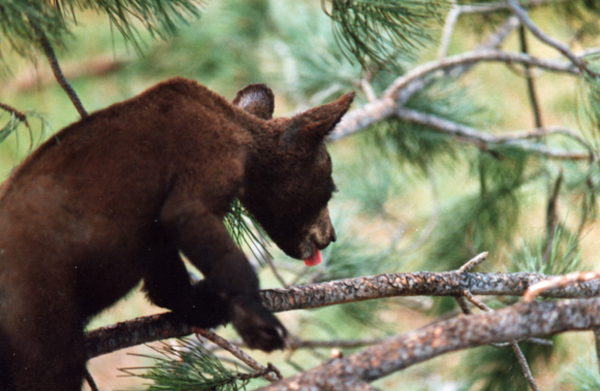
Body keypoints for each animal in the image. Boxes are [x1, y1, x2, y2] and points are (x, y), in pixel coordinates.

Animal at [0, 77, 354, 391]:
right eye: (330, 188)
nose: (331, 236)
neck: (240, 133)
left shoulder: (154, 231)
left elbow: (164, 279)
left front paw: (204, 303)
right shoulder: (206, 162)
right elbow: (191, 220)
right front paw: (256, 321)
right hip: (38, 307)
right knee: (53, 364)